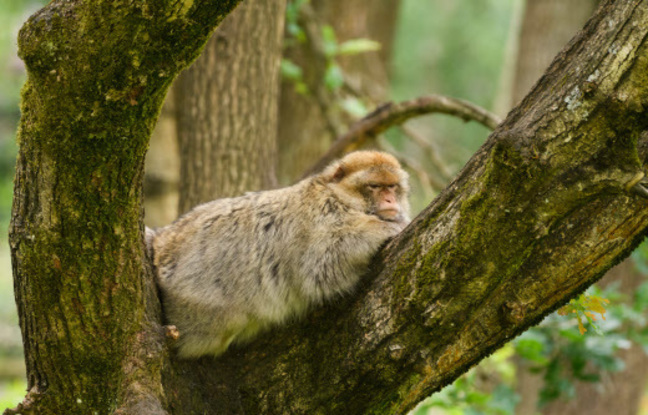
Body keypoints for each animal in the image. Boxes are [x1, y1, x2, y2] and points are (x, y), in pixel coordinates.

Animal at [148, 151, 410, 360]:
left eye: (393, 186)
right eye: (375, 186)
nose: (389, 199)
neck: (341, 198)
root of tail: (161, 243)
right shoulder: (320, 215)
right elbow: (323, 266)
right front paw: (385, 228)